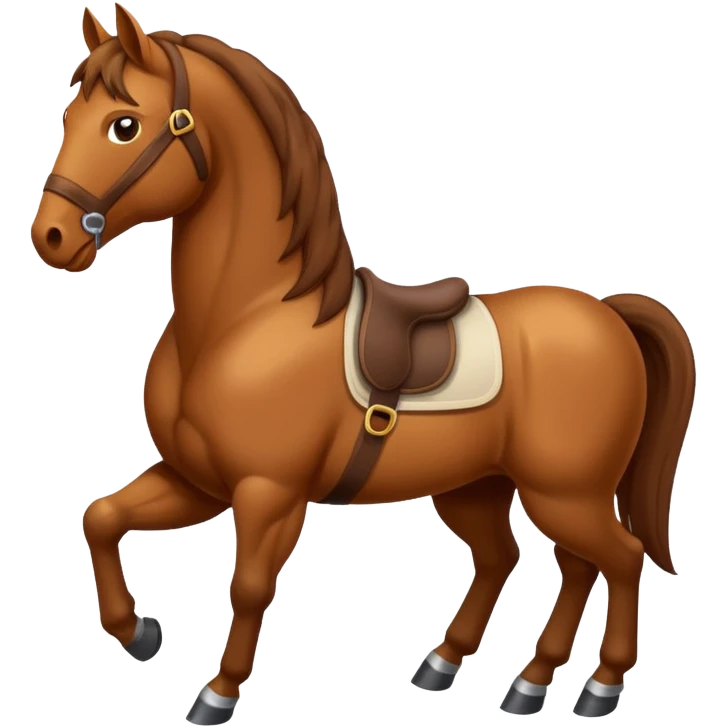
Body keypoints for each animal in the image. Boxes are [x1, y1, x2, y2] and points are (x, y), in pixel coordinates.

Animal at [30, 5, 696, 724]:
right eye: (68, 118)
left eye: (123, 124)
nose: (51, 237)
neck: (250, 316)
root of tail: (607, 315)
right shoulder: (195, 478)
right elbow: (101, 517)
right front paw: (140, 632)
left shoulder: (269, 492)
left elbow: (249, 585)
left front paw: (218, 692)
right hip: (481, 487)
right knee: (530, 561)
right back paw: (495, 676)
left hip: (565, 493)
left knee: (618, 559)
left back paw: (597, 686)